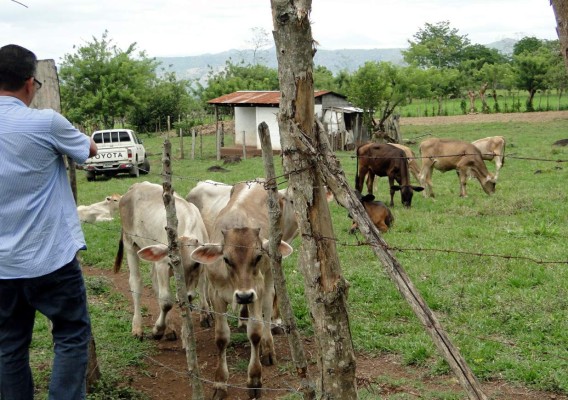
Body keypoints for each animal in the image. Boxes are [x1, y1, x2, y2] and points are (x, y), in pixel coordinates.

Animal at [112, 181, 209, 340]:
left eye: (195, 265)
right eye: (172, 264)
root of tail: (135, 186)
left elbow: (198, 288)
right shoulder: (163, 264)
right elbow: (166, 301)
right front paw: (158, 329)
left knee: (154, 280)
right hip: (130, 244)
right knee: (136, 282)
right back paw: (137, 327)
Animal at [193, 181, 296, 400]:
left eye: (257, 257)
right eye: (226, 259)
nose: (244, 295)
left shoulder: (256, 290)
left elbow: (255, 332)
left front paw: (254, 379)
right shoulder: (217, 295)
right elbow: (221, 337)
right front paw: (220, 382)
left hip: (268, 277)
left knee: (268, 307)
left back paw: (268, 347)